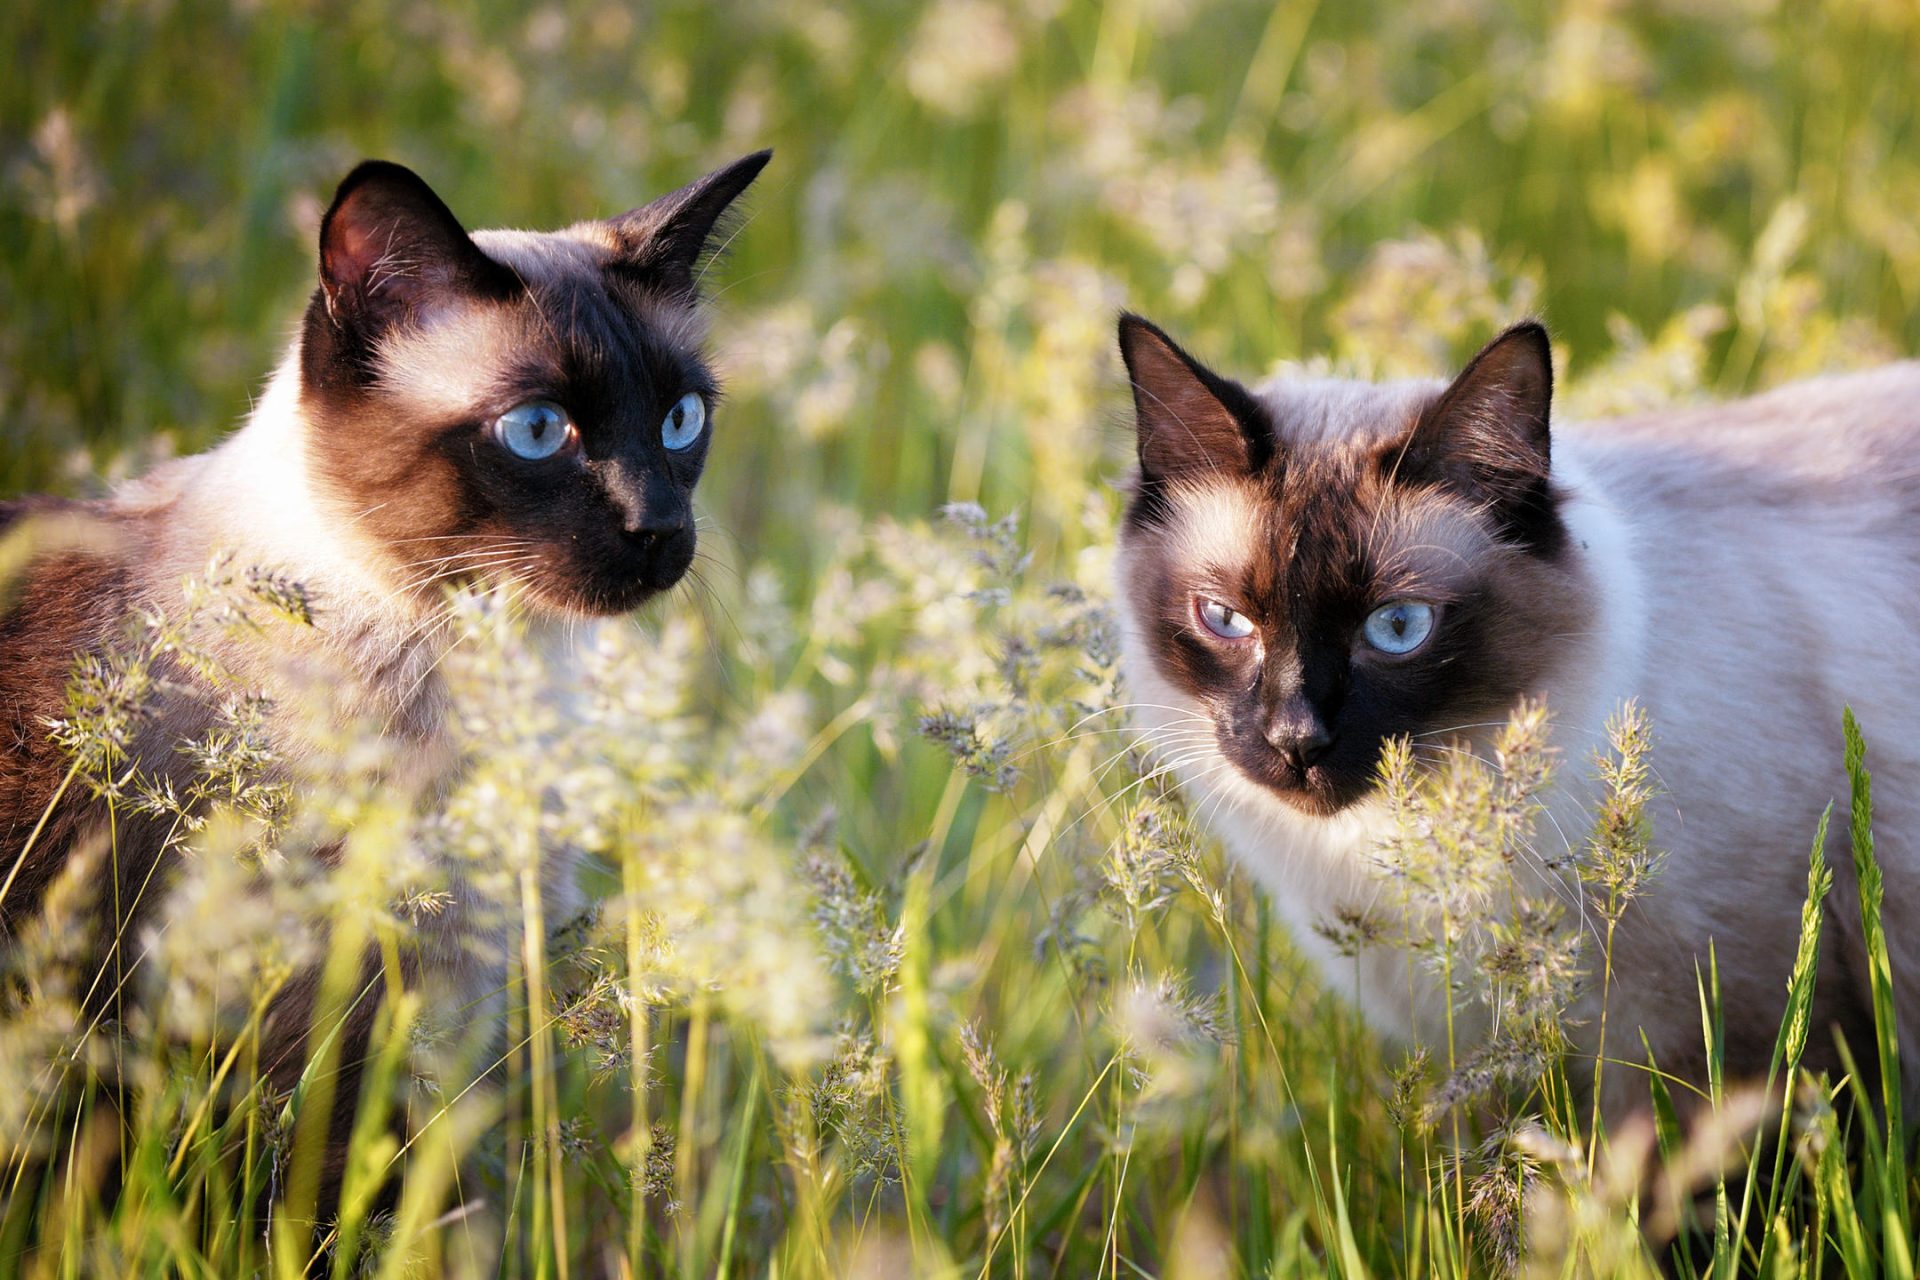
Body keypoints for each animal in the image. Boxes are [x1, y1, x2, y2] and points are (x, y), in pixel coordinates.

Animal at [0, 150, 764, 1205]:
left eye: (681, 420)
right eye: (539, 430)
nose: (658, 529)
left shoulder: (435, 1023)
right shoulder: (319, 1052)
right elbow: (335, 1214)